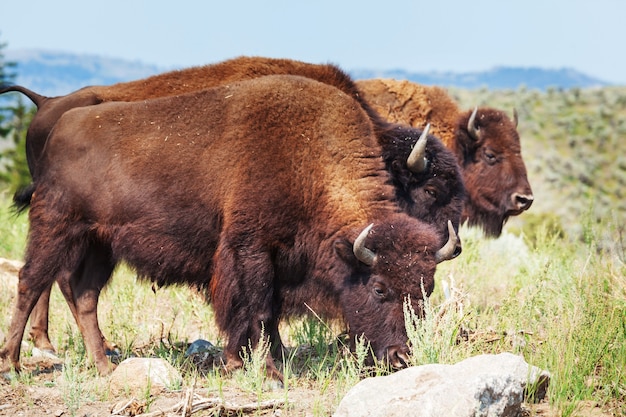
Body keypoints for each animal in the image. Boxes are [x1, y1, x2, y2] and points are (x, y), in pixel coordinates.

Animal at [1, 56, 464, 358]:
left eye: (427, 290)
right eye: (430, 191)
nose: (402, 357)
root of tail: (49, 107)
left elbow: (269, 311)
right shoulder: (248, 250)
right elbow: (255, 309)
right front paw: (257, 362)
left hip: (98, 242)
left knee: (76, 289)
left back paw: (92, 356)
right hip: (58, 225)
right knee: (38, 280)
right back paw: (27, 355)